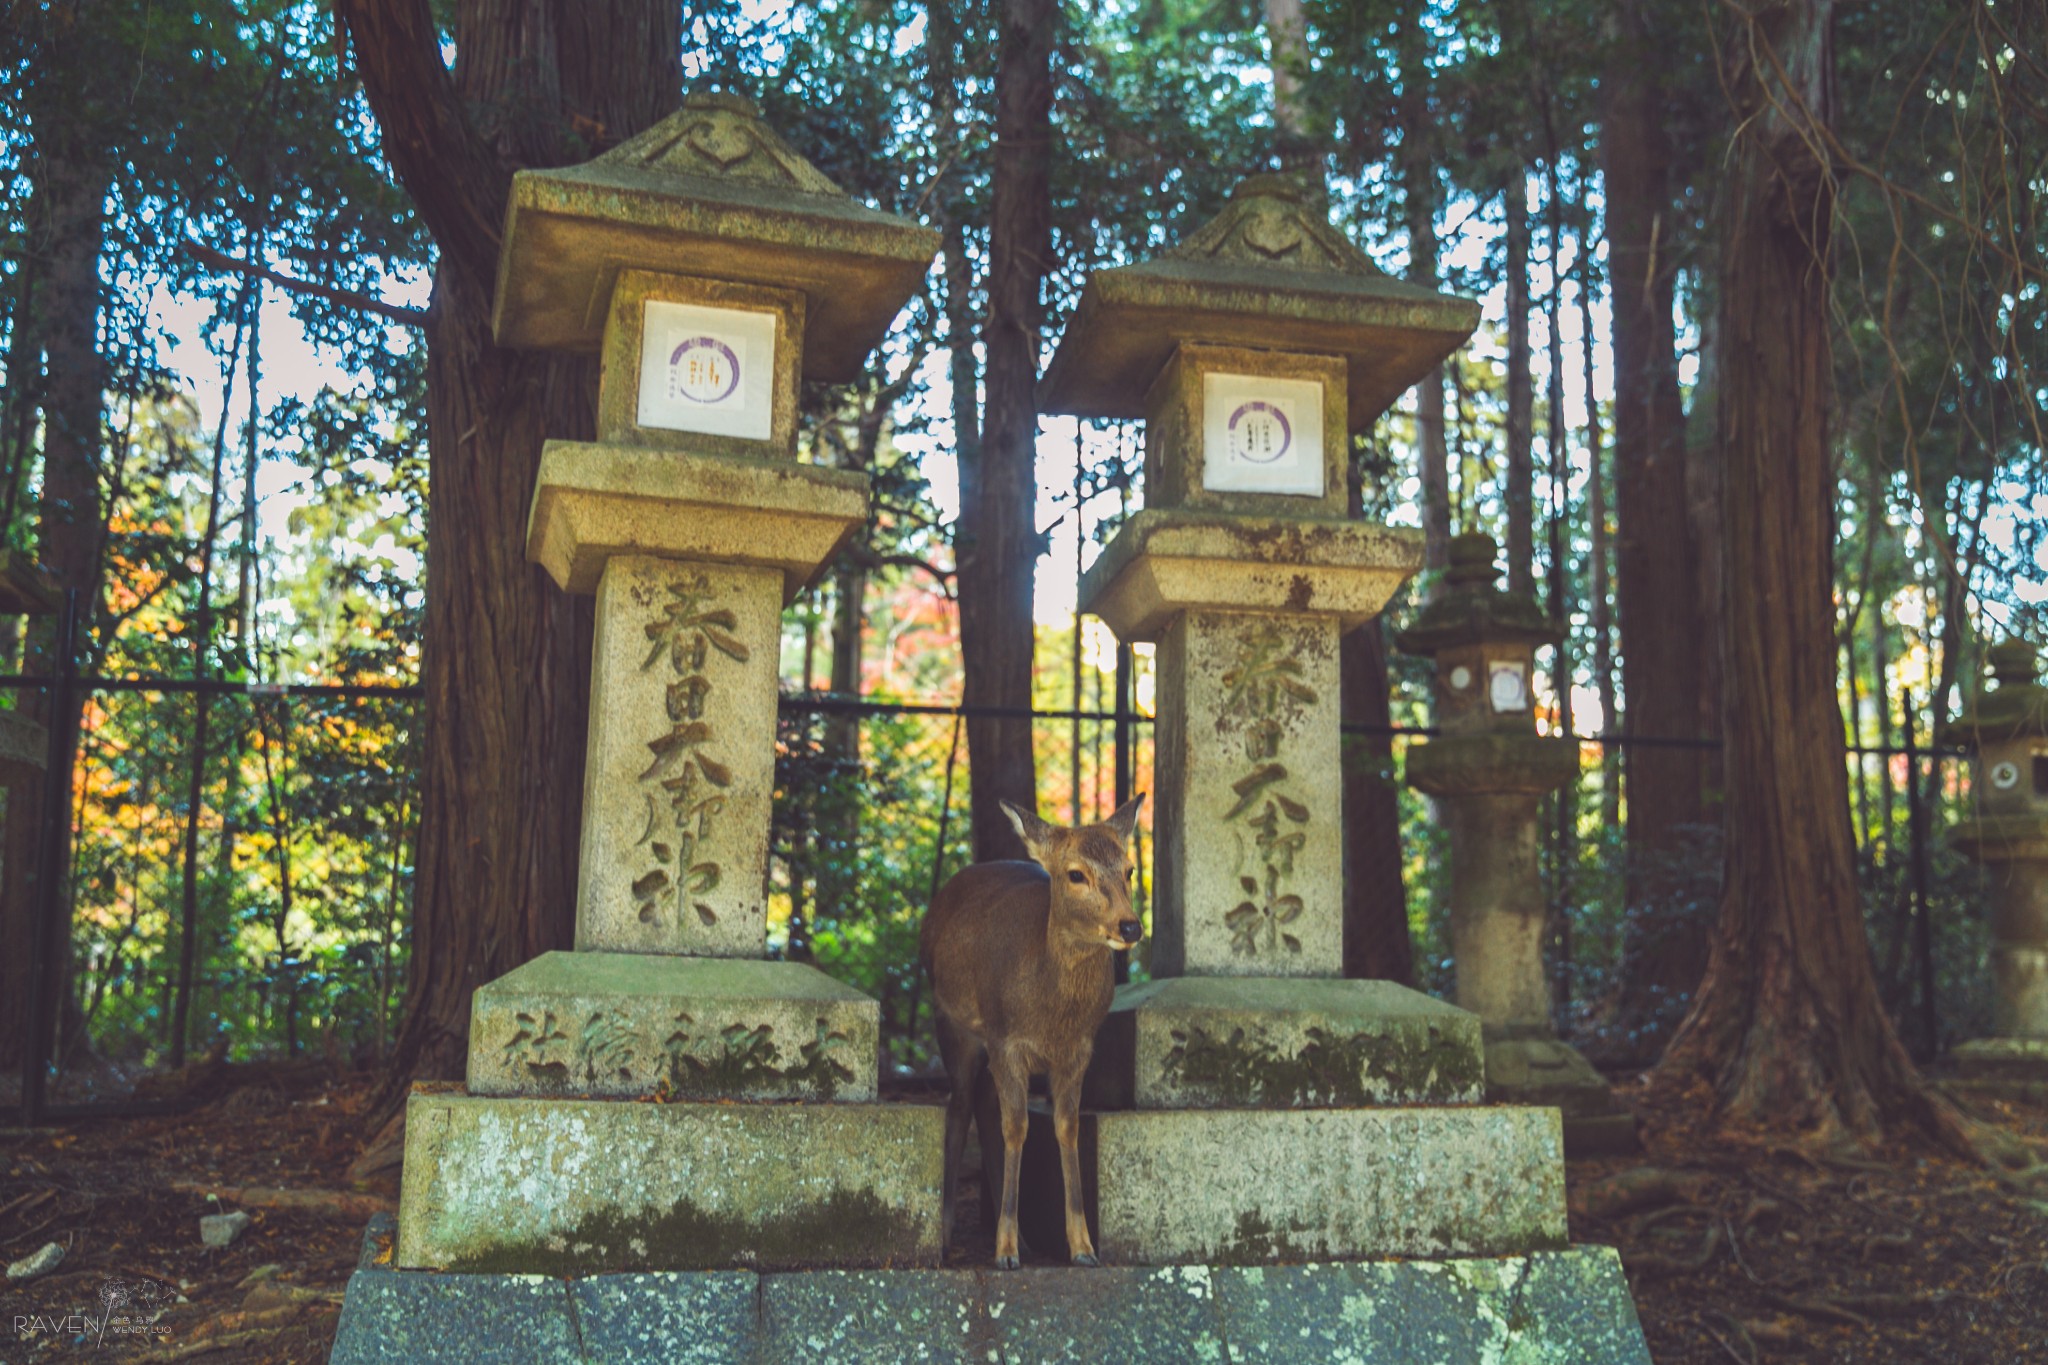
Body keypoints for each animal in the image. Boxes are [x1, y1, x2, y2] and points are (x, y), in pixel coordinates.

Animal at [921, 794, 1146, 1277]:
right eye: (1076, 874)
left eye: (1130, 869)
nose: (1130, 926)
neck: (1050, 1018)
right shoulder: (1006, 1040)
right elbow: (1017, 1128)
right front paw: (1005, 1253)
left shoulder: (1078, 1051)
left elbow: (1065, 1128)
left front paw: (1082, 1247)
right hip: (952, 1025)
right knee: (959, 1108)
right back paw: (949, 1236)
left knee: (983, 1108)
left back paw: (1019, 1236)